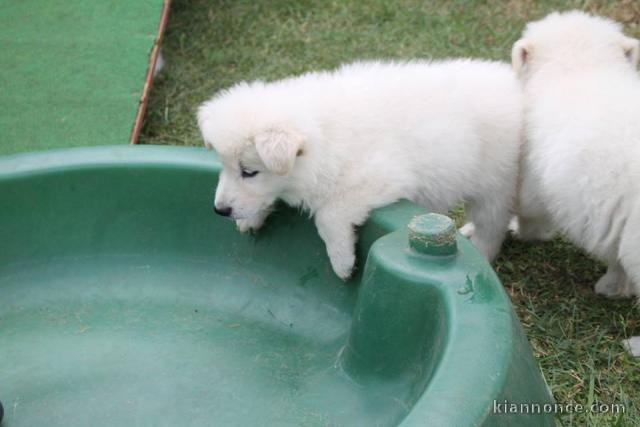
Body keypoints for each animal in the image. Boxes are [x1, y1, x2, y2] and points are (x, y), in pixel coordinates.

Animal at [198, 61, 524, 280]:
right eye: (224, 166)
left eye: (249, 172)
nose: (219, 210)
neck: (322, 134)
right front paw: (250, 219)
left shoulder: (380, 178)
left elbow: (328, 215)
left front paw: (342, 262)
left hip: (495, 182)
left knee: (492, 225)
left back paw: (480, 252)